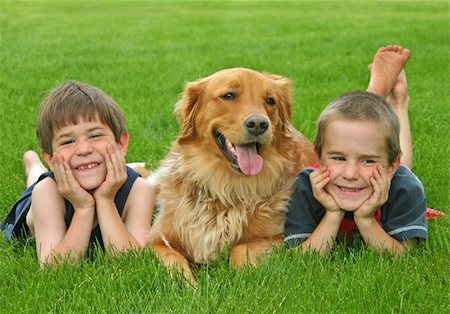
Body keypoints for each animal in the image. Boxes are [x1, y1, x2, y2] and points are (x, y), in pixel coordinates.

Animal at [148, 67, 316, 284]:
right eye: (229, 95)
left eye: (270, 101)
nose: (258, 124)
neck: (225, 186)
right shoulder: (156, 240)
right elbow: (174, 259)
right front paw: (189, 285)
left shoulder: (280, 238)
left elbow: (240, 249)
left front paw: (241, 277)